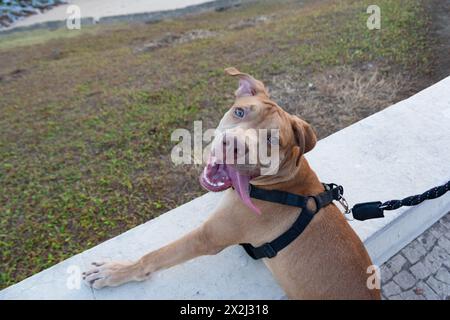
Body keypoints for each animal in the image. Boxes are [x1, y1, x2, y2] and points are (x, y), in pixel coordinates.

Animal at [83, 67, 380, 300]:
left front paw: (115, 271)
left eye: (272, 139)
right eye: (239, 111)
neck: (282, 185)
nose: (234, 145)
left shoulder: (208, 237)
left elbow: (155, 256)